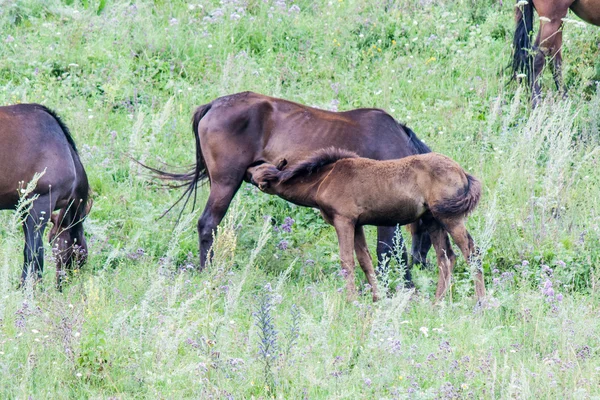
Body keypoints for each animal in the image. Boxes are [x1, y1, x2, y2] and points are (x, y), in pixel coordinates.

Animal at [0, 104, 92, 288]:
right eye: (80, 252)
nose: (63, 284)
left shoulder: (24, 206)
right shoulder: (41, 202)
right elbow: (34, 252)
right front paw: (33, 289)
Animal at [150, 92, 432, 282]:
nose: (425, 265)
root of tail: (214, 105)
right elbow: (389, 251)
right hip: (225, 183)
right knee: (208, 224)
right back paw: (207, 273)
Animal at [246, 148, 486, 302]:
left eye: (259, 171)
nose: (246, 171)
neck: (323, 180)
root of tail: (463, 173)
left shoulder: (343, 220)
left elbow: (347, 261)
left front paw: (351, 299)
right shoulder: (358, 224)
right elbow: (366, 261)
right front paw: (376, 297)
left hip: (450, 218)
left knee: (471, 252)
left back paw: (481, 302)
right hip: (432, 220)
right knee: (446, 258)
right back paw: (437, 302)